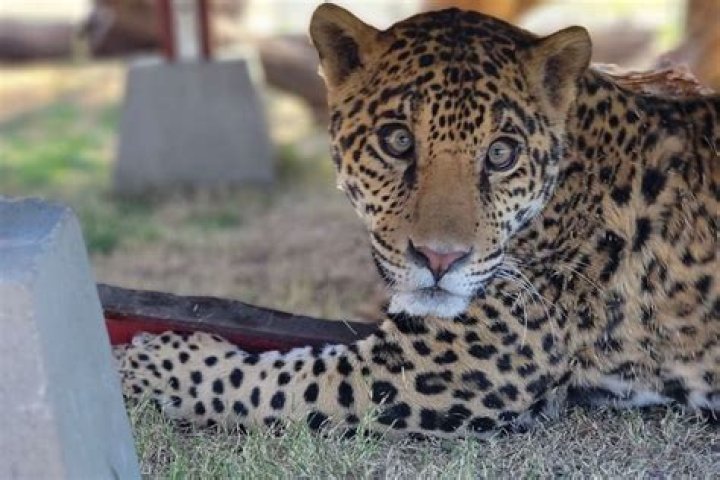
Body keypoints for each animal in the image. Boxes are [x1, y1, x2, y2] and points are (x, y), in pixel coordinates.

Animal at [118, 4, 719, 438]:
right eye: (398, 141)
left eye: (500, 154)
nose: (439, 259)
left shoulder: (444, 370)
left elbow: (263, 380)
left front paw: (145, 362)